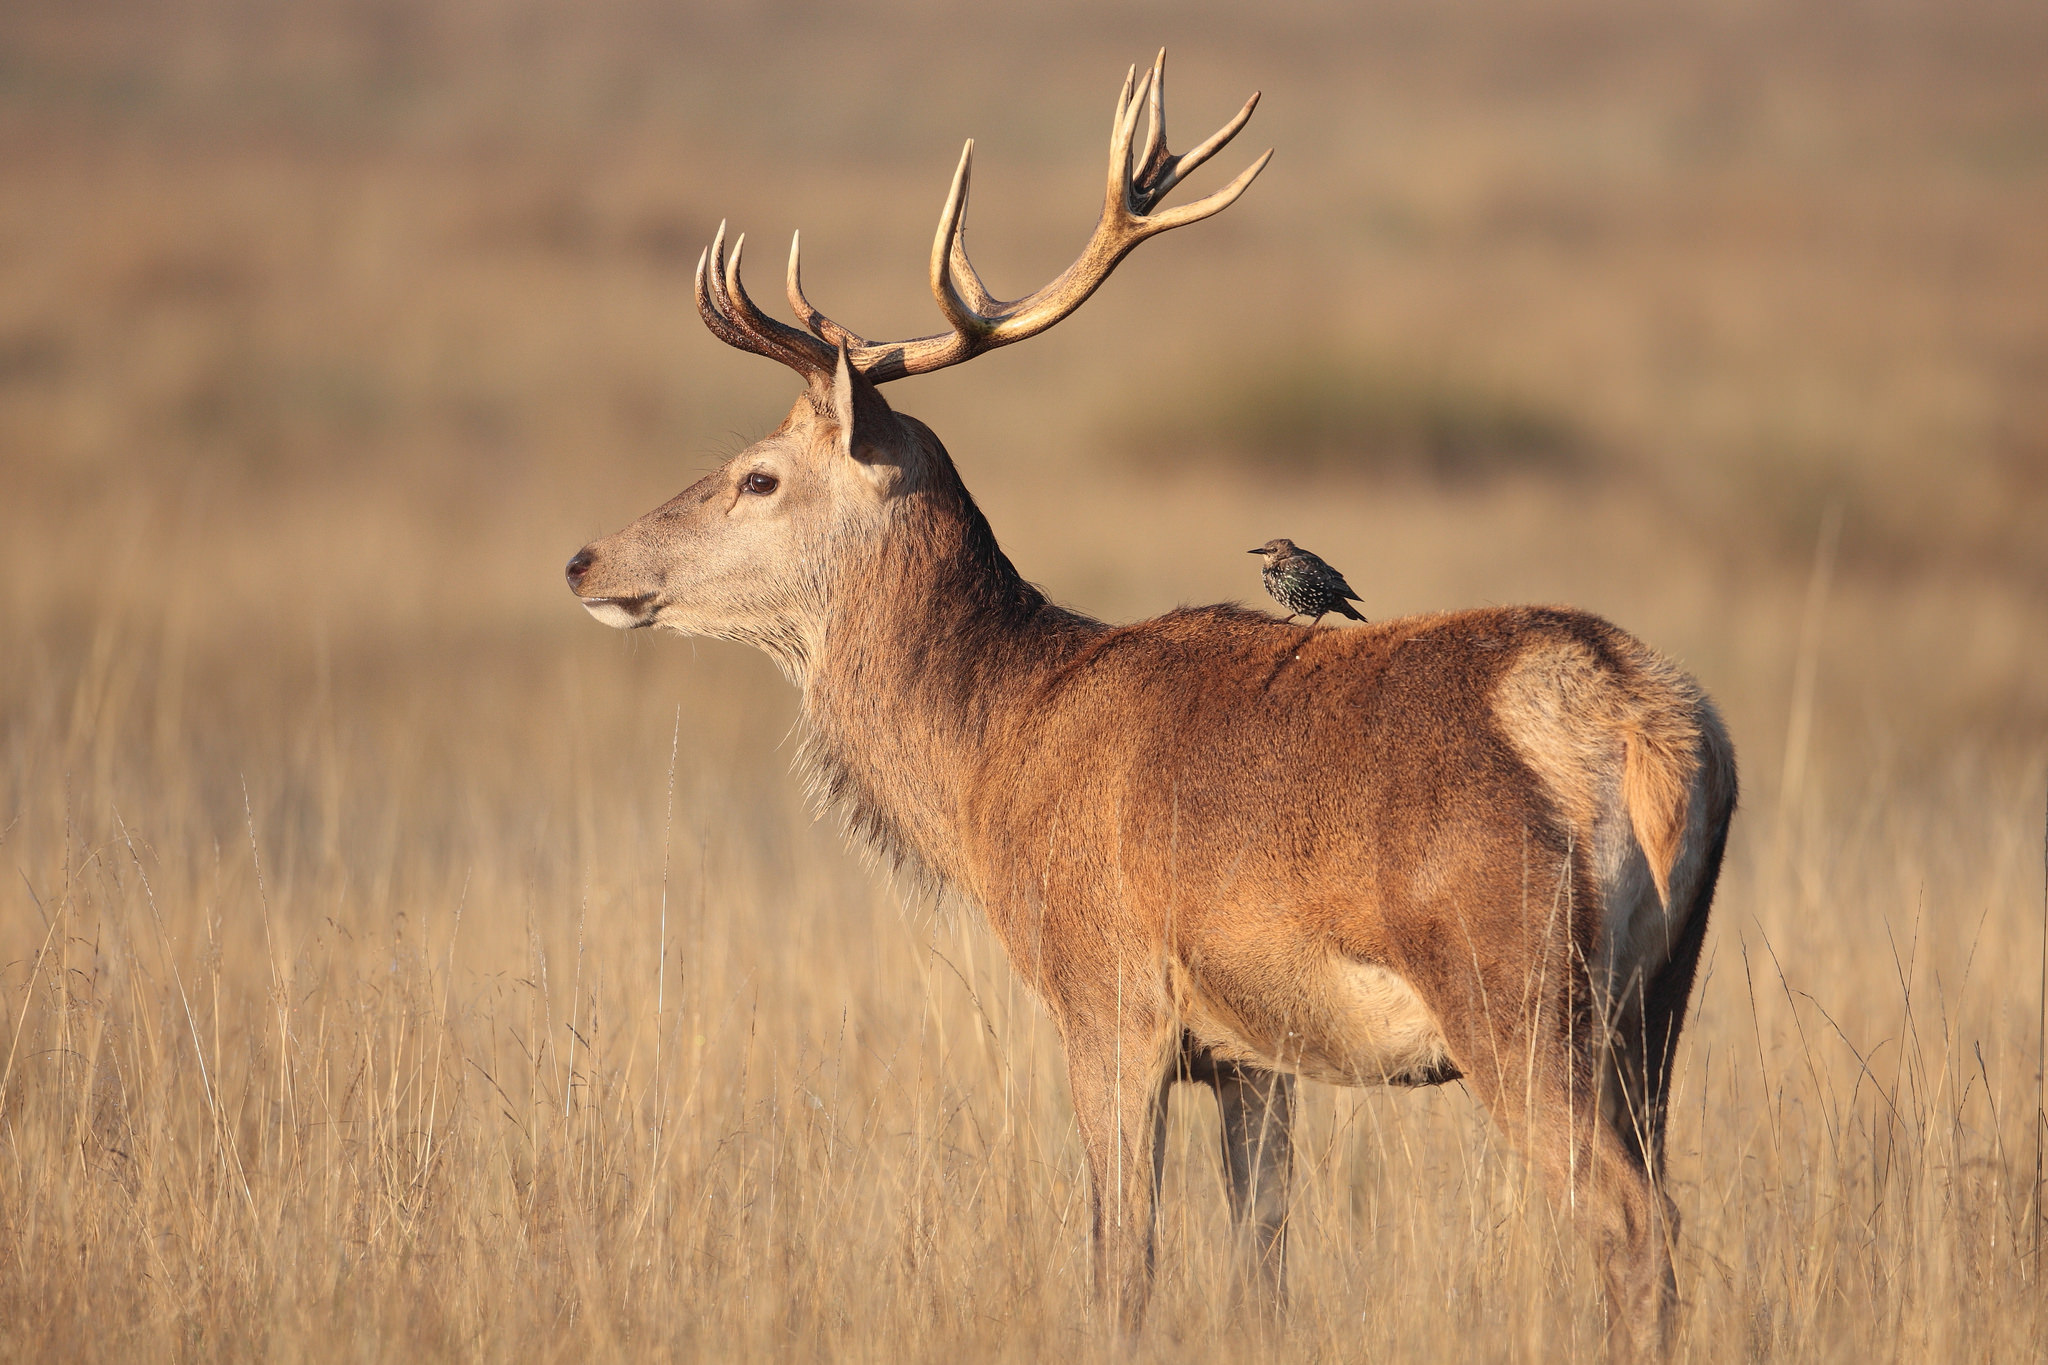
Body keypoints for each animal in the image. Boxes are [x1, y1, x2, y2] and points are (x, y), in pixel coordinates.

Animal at [569, 50, 1736, 1358]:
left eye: (758, 476)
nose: (584, 560)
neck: (991, 760)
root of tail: (1639, 719)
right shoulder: (1253, 1056)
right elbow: (1260, 1264)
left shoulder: (1106, 998)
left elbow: (1117, 1261)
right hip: (1658, 999)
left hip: (1511, 986)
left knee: (1628, 1218)